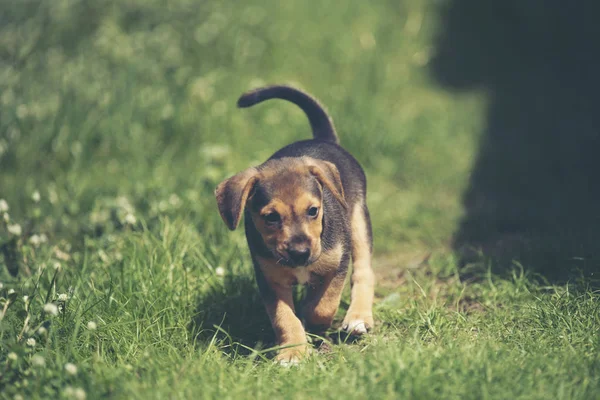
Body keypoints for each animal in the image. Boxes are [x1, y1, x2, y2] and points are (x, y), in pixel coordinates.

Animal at [216, 85, 376, 366]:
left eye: (313, 211)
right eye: (271, 217)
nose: (300, 253)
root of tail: (326, 140)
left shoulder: (337, 264)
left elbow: (323, 305)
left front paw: (313, 322)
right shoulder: (270, 280)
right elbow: (284, 318)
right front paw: (293, 352)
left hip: (357, 220)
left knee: (364, 271)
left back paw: (358, 318)